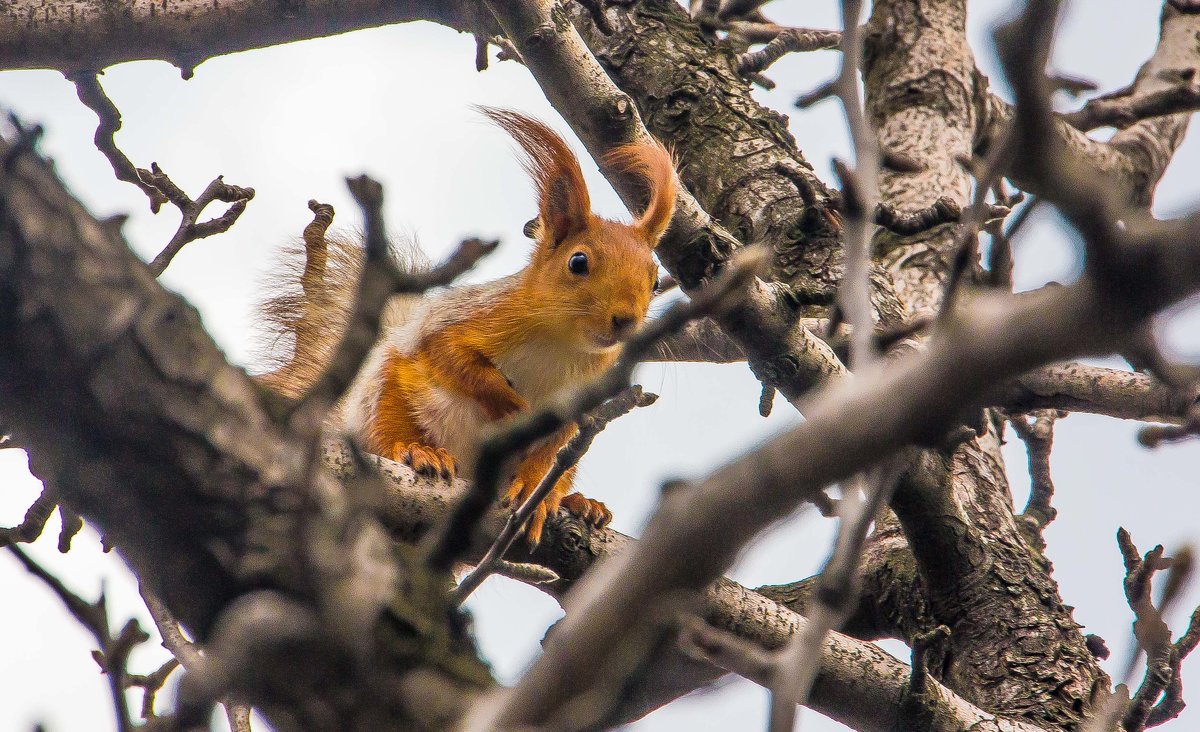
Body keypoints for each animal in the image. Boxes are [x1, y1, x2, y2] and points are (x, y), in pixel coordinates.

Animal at [255, 106, 676, 542]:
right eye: (578, 262)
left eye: (655, 280)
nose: (626, 320)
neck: (564, 344)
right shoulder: (470, 320)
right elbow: (454, 359)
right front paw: (514, 407)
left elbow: (556, 445)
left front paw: (536, 487)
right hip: (383, 394)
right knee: (386, 432)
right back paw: (420, 451)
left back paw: (581, 504)